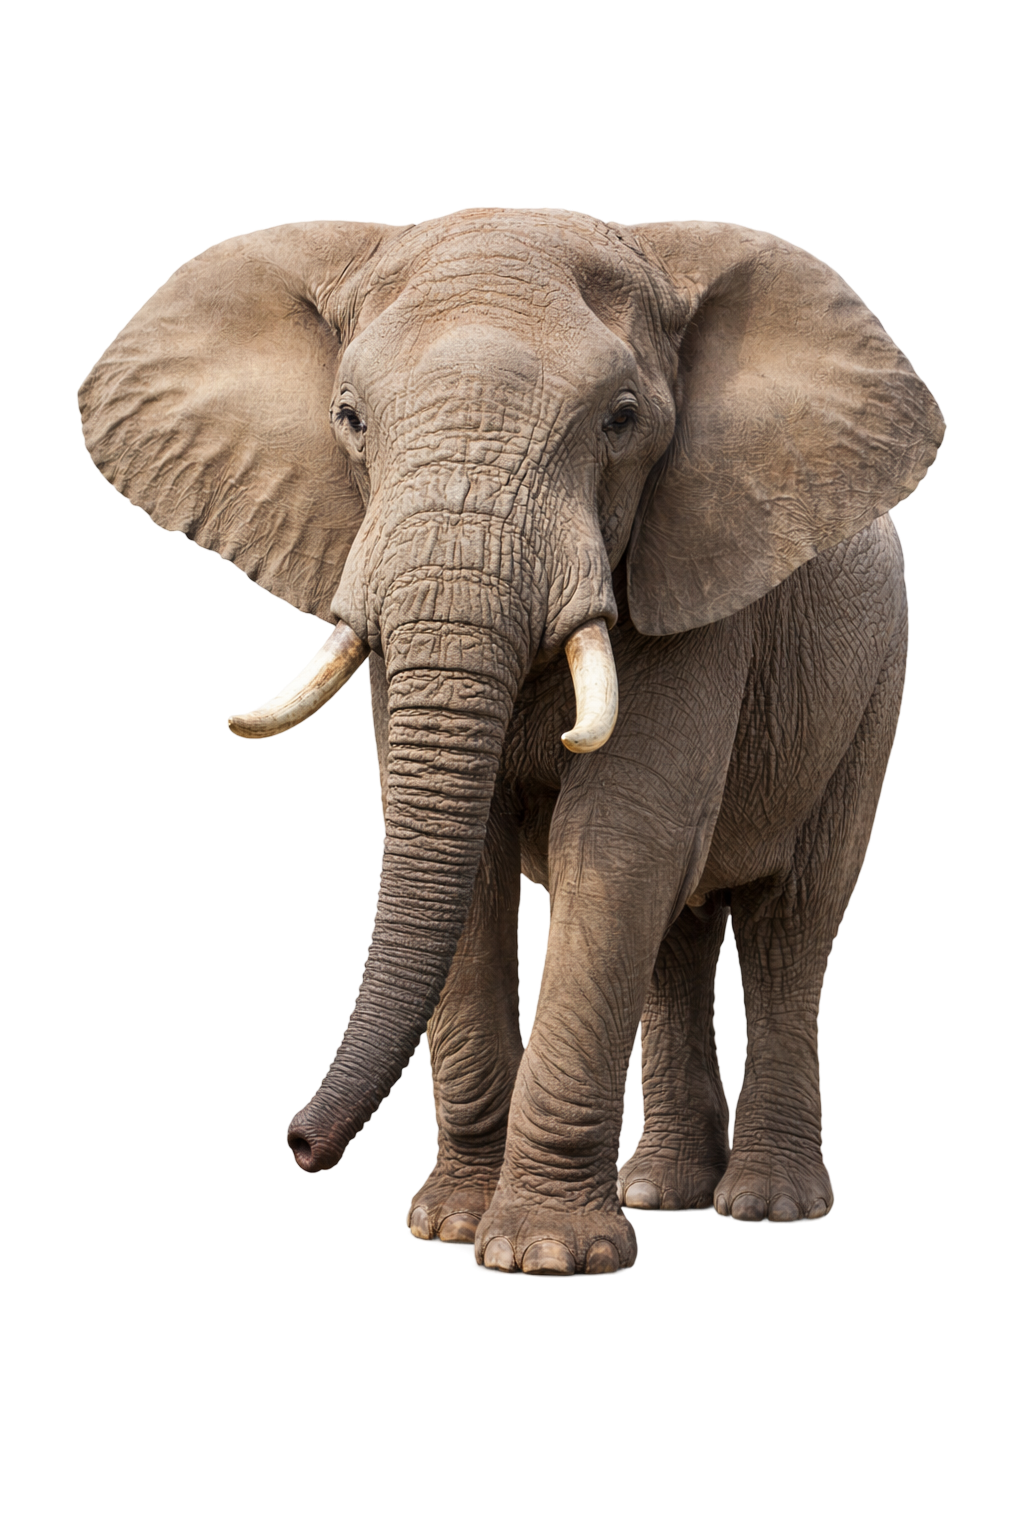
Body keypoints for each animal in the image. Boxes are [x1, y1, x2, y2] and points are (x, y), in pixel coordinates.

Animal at [78, 209, 944, 1276]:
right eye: (349, 418)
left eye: (621, 418)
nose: (300, 1143)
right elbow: (477, 862)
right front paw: (450, 1228)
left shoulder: (692, 571)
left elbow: (617, 844)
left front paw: (542, 1256)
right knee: (679, 936)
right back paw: (660, 1192)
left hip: (874, 687)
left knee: (791, 922)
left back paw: (766, 1207)